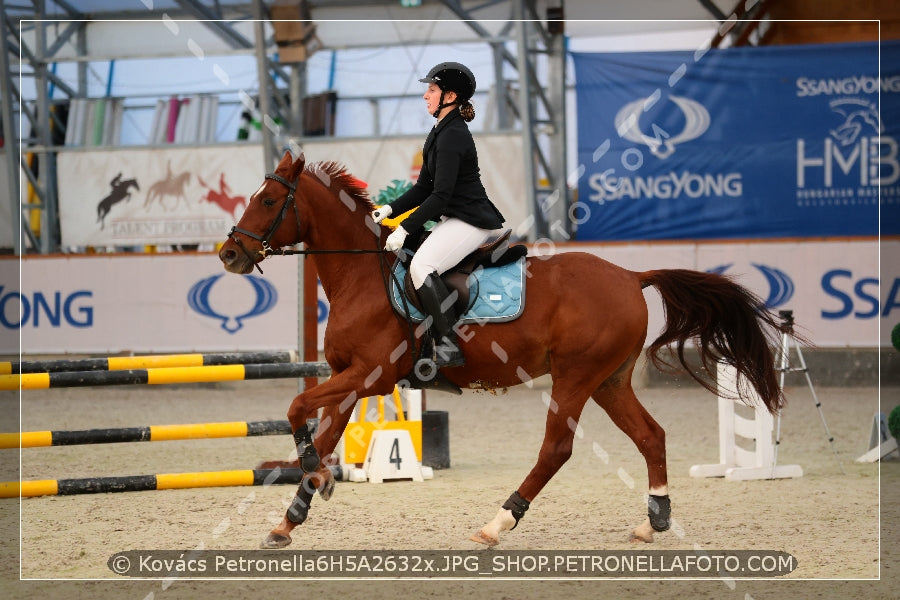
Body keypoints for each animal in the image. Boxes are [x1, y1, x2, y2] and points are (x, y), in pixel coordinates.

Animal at [218, 150, 788, 548]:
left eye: (268, 201)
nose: (229, 254)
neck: (362, 275)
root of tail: (631, 275)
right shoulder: (346, 379)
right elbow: (321, 431)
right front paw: (293, 513)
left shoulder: (369, 376)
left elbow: (297, 406)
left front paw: (313, 481)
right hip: (609, 380)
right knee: (651, 435)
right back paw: (655, 520)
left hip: (575, 377)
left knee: (556, 449)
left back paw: (497, 523)